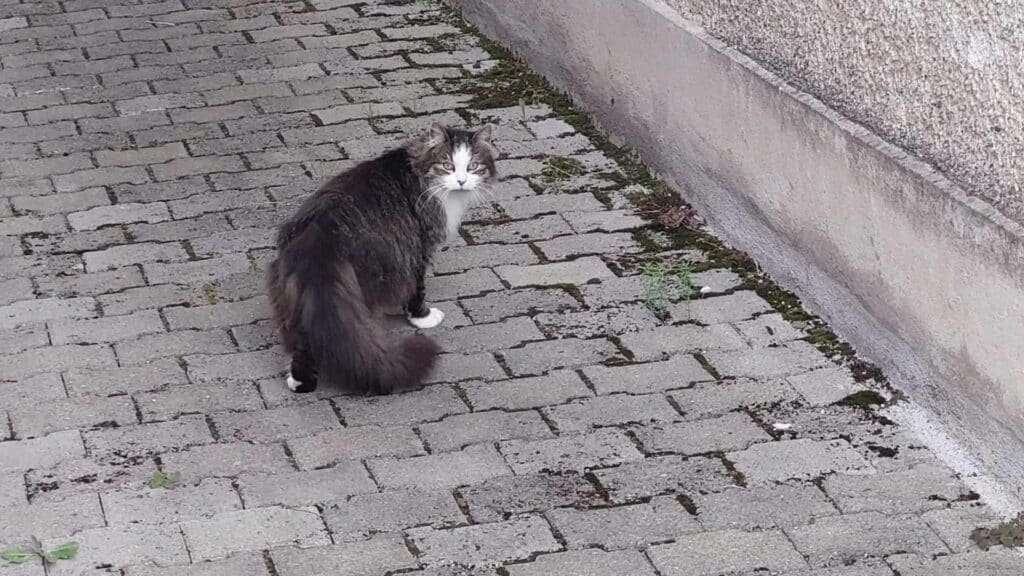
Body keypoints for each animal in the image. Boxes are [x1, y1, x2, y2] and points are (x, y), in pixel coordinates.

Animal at [266, 124, 497, 393]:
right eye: (447, 165)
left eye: (473, 166)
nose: (461, 181)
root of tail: (319, 235)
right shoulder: (418, 250)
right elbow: (417, 290)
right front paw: (423, 318)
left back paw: (300, 383)